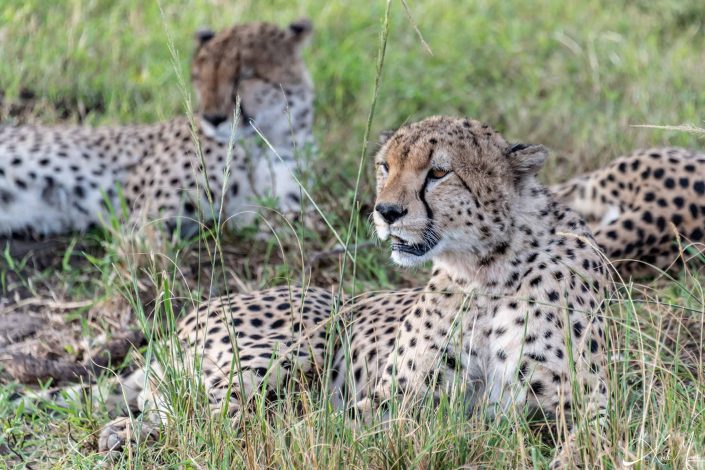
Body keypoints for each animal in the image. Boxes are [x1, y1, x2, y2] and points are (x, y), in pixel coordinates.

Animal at [0, 19, 314, 235]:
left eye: (245, 75)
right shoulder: (144, 210)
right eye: (200, 75)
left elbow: (290, 220)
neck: (267, 137)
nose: (212, 118)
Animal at [96, 115, 608, 458]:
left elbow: (594, 440)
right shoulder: (401, 397)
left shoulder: (587, 399)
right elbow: (336, 429)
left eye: (439, 172)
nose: (386, 212)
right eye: (385, 167)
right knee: (205, 414)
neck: (485, 270)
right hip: (302, 342)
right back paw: (126, 433)